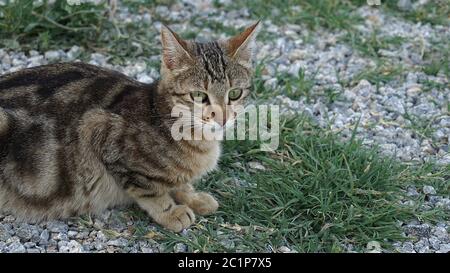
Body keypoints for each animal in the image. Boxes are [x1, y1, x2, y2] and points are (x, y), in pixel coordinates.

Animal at [0, 21, 260, 231]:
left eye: (234, 93)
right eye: (198, 95)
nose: (222, 117)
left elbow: (179, 182)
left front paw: (192, 196)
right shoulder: (99, 130)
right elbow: (150, 191)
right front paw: (171, 212)